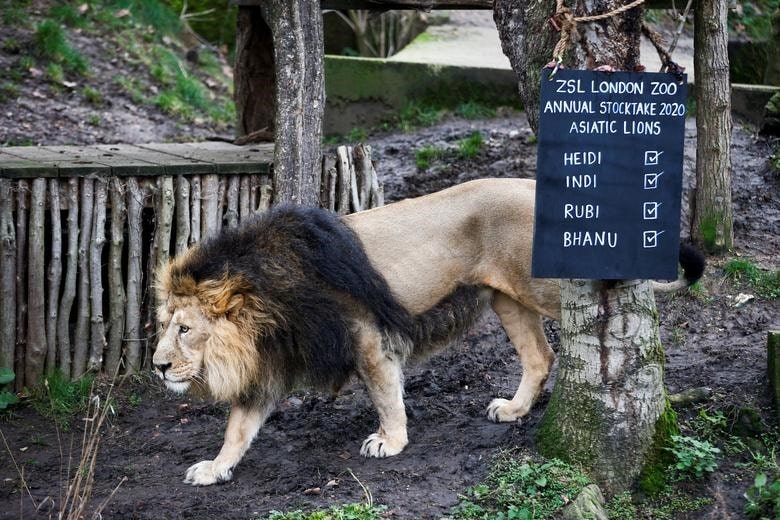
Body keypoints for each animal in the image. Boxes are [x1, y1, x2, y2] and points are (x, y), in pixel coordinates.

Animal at [151, 177, 700, 486]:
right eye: (163, 327)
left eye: (185, 329)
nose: (157, 367)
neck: (267, 306)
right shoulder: (274, 361)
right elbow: (238, 428)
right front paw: (214, 468)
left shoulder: (366, 335)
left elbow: (384, 393)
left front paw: (390, 442)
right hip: (505, 297)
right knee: (540, 357)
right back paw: (514, 410)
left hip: (547, 287)